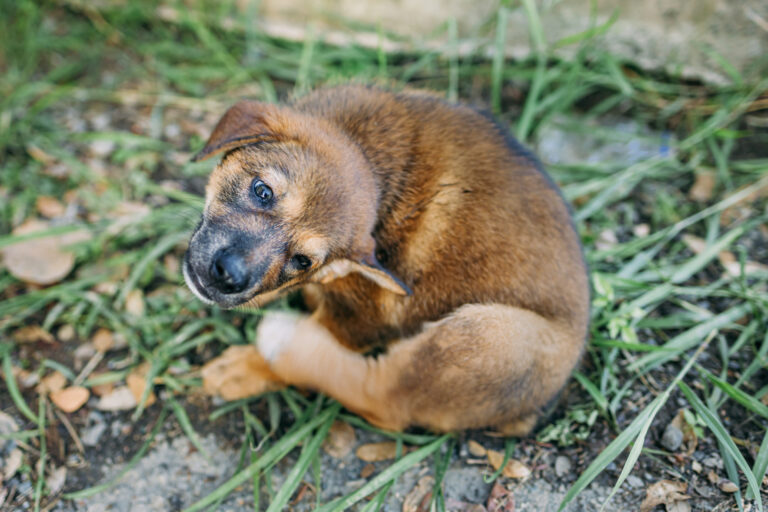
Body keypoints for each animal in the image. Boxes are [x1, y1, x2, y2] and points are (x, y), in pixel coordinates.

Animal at [184, 85, 588, 436]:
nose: (229, 277)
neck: (368, 151)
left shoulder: (360, 318)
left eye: (302, 260)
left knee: (380, 398)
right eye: (262, 191)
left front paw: (247, 368)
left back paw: (280, 343)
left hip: (488, 335)